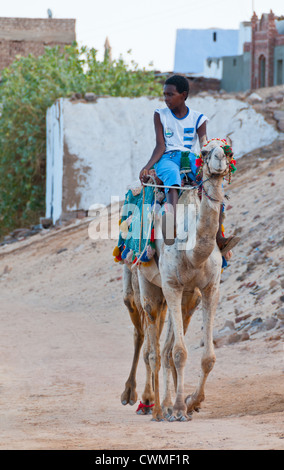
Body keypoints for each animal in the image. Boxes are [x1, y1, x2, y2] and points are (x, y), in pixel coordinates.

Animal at [120, 138, 237, 420]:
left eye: (228, 151)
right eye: (205, 152)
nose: (219, 159)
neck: (193, 251)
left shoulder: (208, 289)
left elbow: (205, 357)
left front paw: (191, 401)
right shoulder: (172, 286)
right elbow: (179, 352)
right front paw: (180, 408)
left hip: (184, 298)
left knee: (161, 347)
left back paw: (163, 404)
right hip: (140, 281)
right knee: (146, 341)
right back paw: (146, 402)